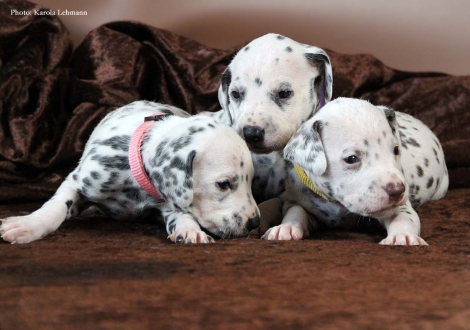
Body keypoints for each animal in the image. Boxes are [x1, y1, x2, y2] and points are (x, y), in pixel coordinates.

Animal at [0, 102, 258, 244]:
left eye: (251, 182)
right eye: (223, 184)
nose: (255, 222)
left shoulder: (168, 204)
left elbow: (183, 215)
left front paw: (190, 230)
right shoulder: (77, 181)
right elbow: (55, 207)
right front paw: (27, 225)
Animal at [262, 97, 450, 245]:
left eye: (396, 150)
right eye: (351, 158)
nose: (398, 190)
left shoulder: (399, 207)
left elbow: (403, 217)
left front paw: (403, 235)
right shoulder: (298, 199)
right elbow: (295, 211)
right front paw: (286, 227)